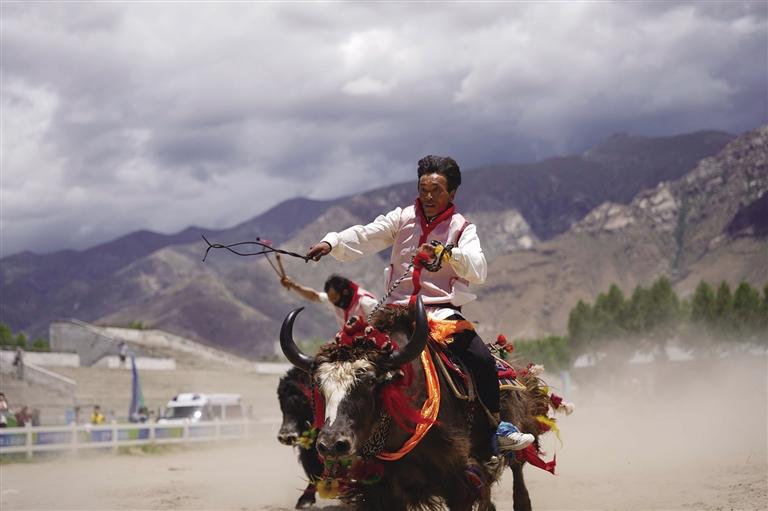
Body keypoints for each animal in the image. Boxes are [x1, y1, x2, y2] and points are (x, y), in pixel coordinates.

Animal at [277, 367, 325, 509]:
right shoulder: (309, 450)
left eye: (304, 399)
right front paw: (304, 501)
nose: (286, 436)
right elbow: (314, 470)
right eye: (280, 399)